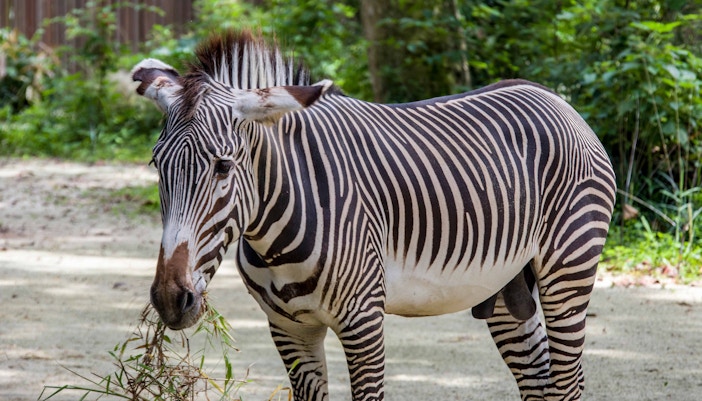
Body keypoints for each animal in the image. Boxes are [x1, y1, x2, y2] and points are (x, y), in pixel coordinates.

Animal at [131, 30, 616, 401]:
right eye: (157, 165)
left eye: (223, 167)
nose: (171, 299)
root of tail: (550, 95)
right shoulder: (288, 328)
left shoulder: (363, 321)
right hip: (507, 285)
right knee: (540, 384)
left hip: (568, 268)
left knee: (568, 383)